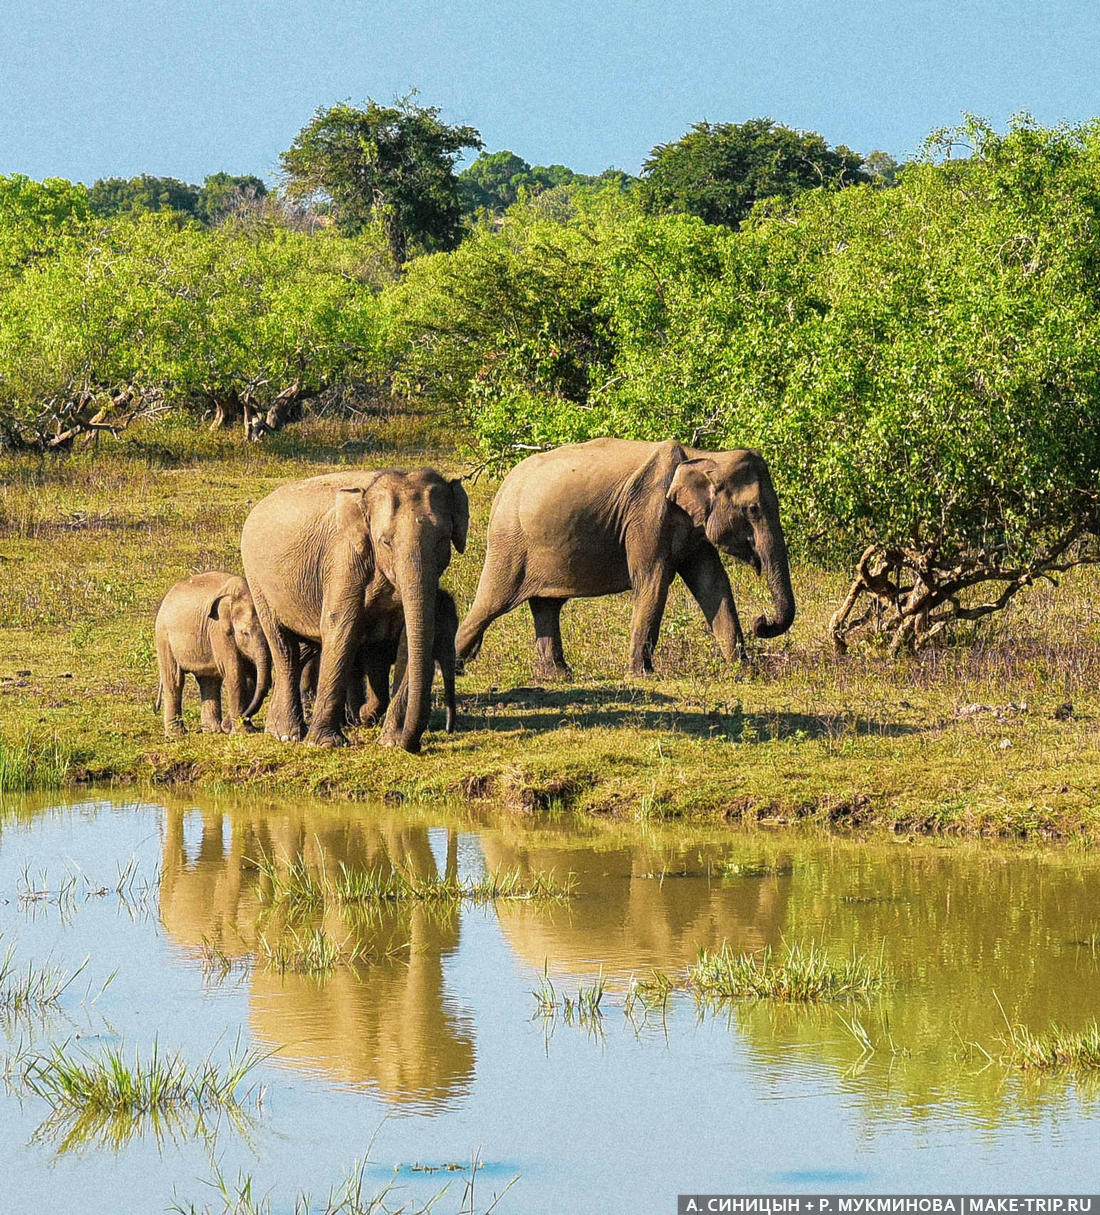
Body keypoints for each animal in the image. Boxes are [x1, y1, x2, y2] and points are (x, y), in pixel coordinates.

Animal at [154, 571, 272, 733]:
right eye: (245, 633)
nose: (244, 718)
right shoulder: (218, 629)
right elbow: (234, 672)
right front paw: (242, 731)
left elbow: (251, 677)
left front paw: (242, 728)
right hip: (164, 638)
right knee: (175, 679)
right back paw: (176, 734)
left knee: (209, 680)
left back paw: (212, 730)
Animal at [240, 464, 466, 748]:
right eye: (385, 542)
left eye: (443, 540)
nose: (412, 745)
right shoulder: (343, 558)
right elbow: (341, 626)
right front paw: (325, 743)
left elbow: (406, 638)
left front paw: (389, 741)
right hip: (258, 582)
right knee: (284, 648)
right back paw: (288, 734)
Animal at [449, 439, 792, 685]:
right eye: (753, 510)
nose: (761, 620)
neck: (705, 456)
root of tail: (503, 487)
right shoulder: (648, 513)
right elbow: (653, 580)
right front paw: (642, 676)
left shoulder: (693, 526)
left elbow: (712, 582)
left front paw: (745, 672)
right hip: (510, 542)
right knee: (492, 602)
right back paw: (454, 669)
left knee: (546, 605)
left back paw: (559, 676)